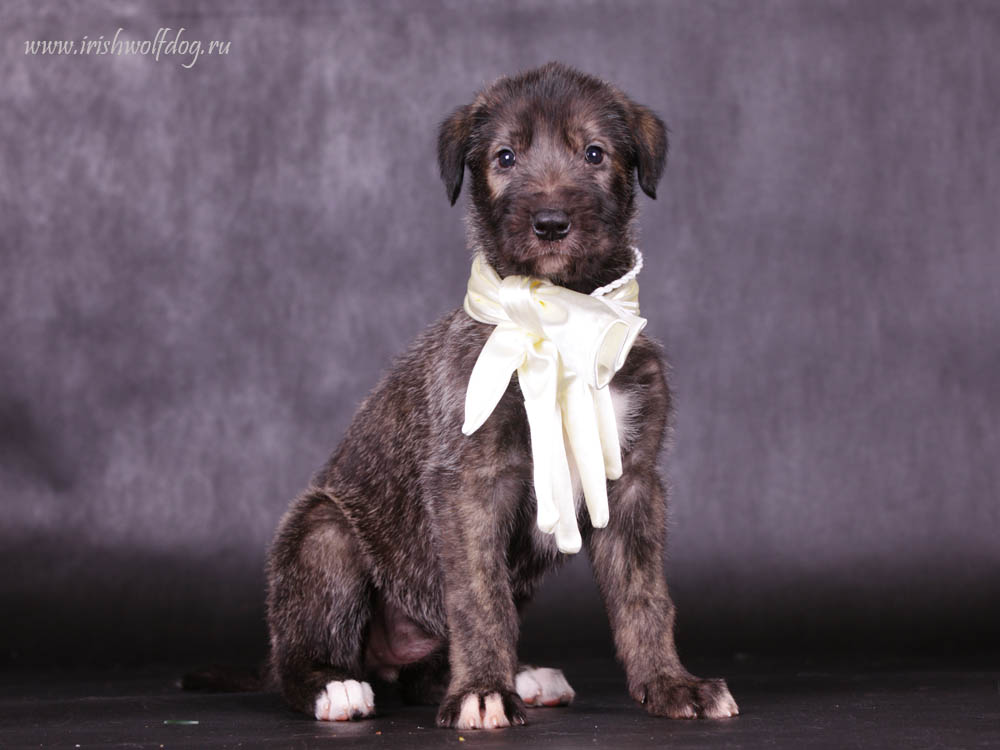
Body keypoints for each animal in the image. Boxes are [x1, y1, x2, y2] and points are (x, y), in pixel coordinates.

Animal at [264, 61, 736, 732]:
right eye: (504, 157)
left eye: (595, 153)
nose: (550, 223)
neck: (562, 316)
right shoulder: (470, 480)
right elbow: (478, 595)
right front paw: (483, 690)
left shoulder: (631, 479)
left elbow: (645, 596)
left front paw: (671, 684)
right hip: (322, 535)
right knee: (299, 652)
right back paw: (335, 686)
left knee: (425, 672)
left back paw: (519, 675)